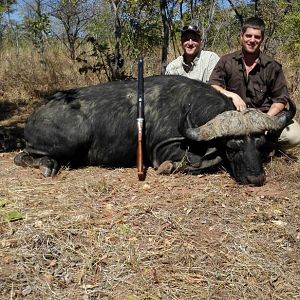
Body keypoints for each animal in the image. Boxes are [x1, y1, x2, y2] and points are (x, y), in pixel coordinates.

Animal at [14, 75, 296, 185]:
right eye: (232, 148)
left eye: (258, 146)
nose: (256, 178)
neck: (189, 106)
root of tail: (37, 114)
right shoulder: (164, 151)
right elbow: (203, 161)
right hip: (71, 139)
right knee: (22, 157)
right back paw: (48, 165)